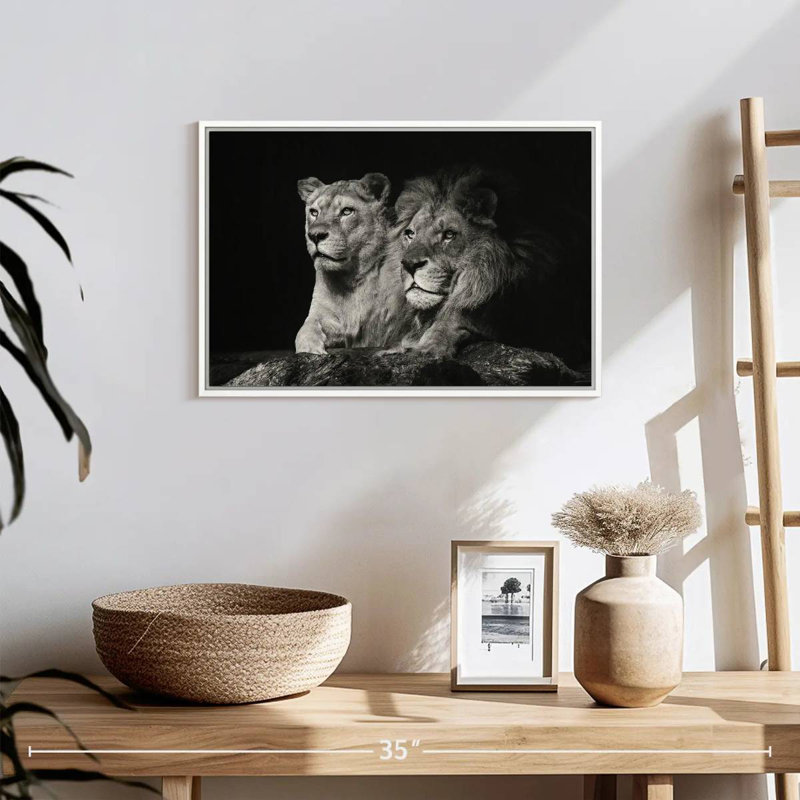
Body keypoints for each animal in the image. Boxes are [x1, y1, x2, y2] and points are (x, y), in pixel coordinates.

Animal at [295, 173, 412, 354]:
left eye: (347, 211)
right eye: (314, 212)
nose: (314, 235)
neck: (351, 279)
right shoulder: (322, 314)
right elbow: (305, 330)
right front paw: (310, 349)